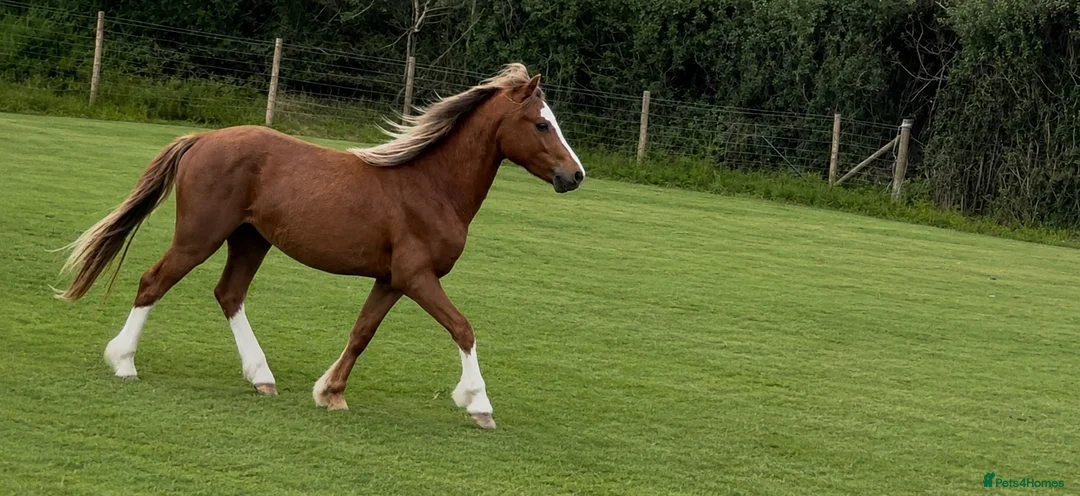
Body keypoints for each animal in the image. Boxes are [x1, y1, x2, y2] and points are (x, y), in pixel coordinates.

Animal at [54, 63, 585, 430]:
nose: (575, 175)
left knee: (229, 294)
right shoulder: (417, 276)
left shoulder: (391, 280)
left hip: (250, 240)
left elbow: (362, 332)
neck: (430, 186)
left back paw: (261, 376)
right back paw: (124, 363)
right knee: (153, 281)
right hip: (199, 236)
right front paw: (478, 404)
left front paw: (330, 392)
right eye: (541, 124)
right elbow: (463, 328)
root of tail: (203, 139)